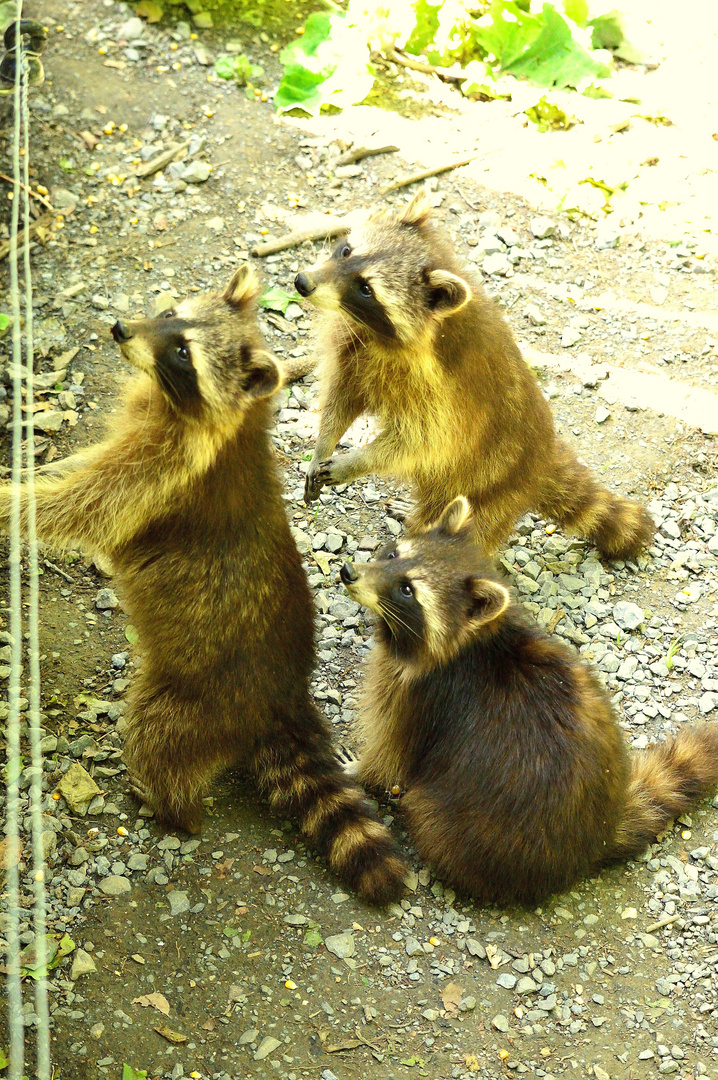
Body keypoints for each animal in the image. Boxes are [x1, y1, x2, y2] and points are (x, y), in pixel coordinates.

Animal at [0, 265, 403, 907]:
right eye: (169, 315)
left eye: (184, 352)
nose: (120, 328)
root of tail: (280, 698)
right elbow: (83, 466)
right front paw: (35, 470)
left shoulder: (164, 473)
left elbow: (85, 506)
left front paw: (12, 502)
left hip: (196, 702)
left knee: (156, 738)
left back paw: (169, 805)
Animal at [293, 186, 652, 561]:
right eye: (346, 250)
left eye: (366, 289)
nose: (302, 282)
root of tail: (544, 458)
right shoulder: (356, 351)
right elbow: (342, 397)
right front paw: (323, 444)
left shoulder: (439, 395)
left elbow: (417, 442)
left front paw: (357, 461)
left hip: (494, 486)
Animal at [336, 494, 716, 902]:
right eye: (392, 554)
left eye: (408, 590)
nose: (347, 571)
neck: (470, 642)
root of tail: (596, 838)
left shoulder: (420, 698)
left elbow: (390, 756)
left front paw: (359, 769)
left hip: (462, 825)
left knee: (428, 813)